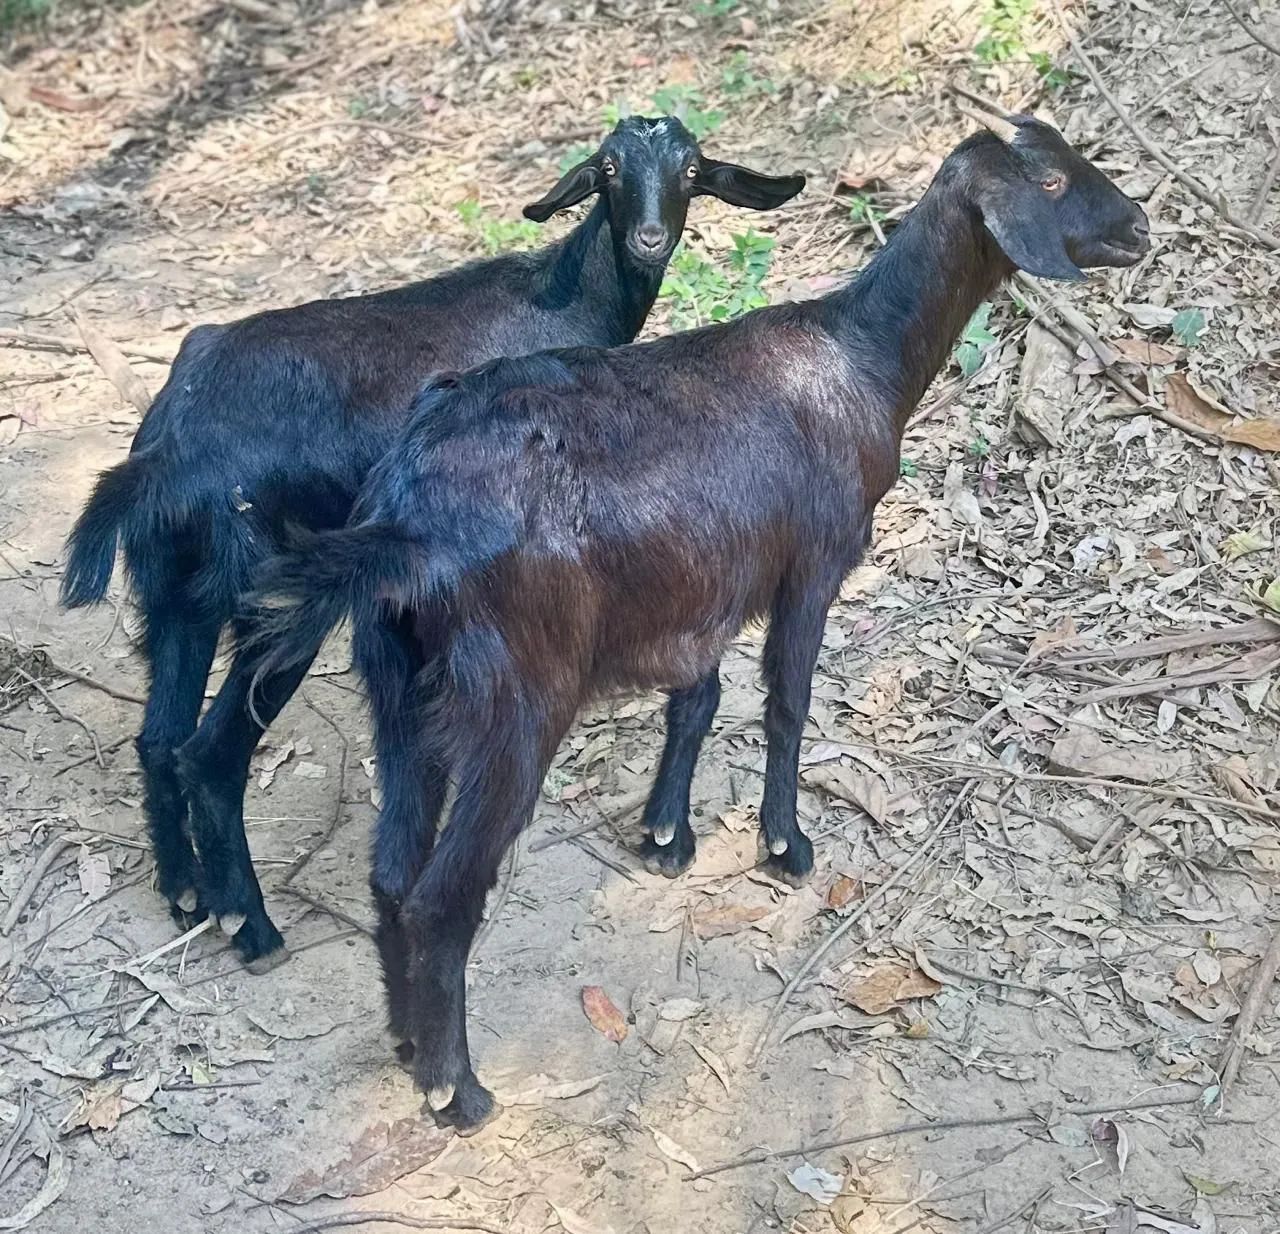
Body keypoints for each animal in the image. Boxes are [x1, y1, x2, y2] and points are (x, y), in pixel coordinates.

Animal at [59, 117, 804, 971]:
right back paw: (251, 925)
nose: (649, 238)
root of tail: (170, 455)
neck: (565, 296)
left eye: (690, 170)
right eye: (610, 169)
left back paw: (185, 895)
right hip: (278, 600)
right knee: (209, 753)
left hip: (174, 593)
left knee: (158, 738)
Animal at [255, 116, 1149, 1129]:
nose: (1140, 228)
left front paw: (665, 836)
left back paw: (410, 1047)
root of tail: (402, 514)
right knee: (443, 896)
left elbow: (698, 698)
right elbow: (786, 703)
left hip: (399, 683)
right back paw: (460, 1088)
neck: (859, 359)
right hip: (517, 694)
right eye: (1049, 180)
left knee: (392, 871)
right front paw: (784, 846)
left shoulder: (706, 587)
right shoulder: (812, 563)